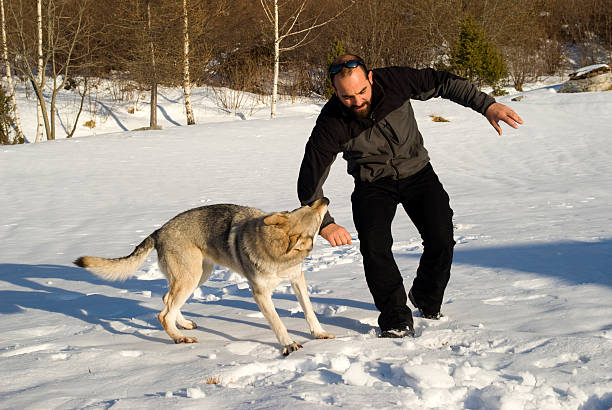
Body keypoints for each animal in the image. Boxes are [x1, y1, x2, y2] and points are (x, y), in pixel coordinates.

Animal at [76, 197, 334, 354]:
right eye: (312, 211)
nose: (325, 199)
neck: (276, 252)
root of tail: (159, 230)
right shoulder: (260, 294)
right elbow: (278, 323)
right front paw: (289, 345)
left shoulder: (297, 280)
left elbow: (309, 311)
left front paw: (319, 333)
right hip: (191, 278)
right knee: (163, 314)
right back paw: (180, 338)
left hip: (199, 275)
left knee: (166, 301)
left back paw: (183, 325)